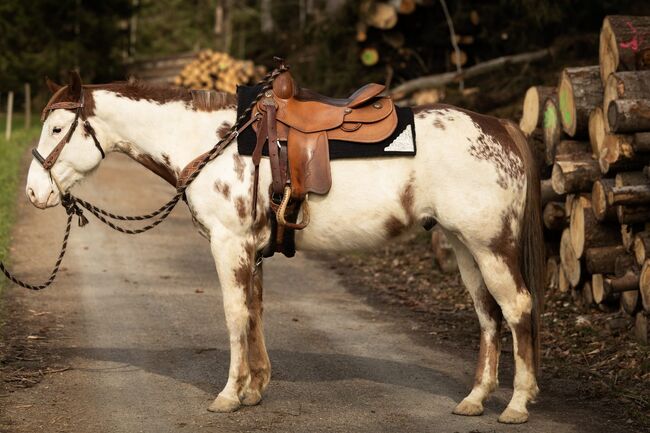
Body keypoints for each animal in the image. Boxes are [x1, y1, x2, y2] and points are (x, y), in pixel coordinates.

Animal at [25, 72, 540, 424]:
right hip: (463, 247)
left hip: (491, 246)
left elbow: (235, 314)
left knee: (516, 308)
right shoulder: (250, 251)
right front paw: (255, 389)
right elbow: (254, 312)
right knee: (488, 317)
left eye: (57, 130)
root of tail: (499, 126)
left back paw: (517, 404)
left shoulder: (229, 244)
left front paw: (230, 394)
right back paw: (475, 399)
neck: (214, 143)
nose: (33, 193)